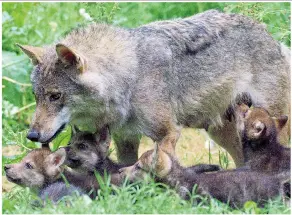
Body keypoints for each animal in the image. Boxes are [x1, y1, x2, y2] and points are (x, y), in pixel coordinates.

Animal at [18, 9, 290, 165]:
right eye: (37, 96)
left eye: (55, 96)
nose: (31, 135)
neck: (128, 76)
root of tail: (270, 36)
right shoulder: (125, 138)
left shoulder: (168, 133)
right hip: (222, 134)